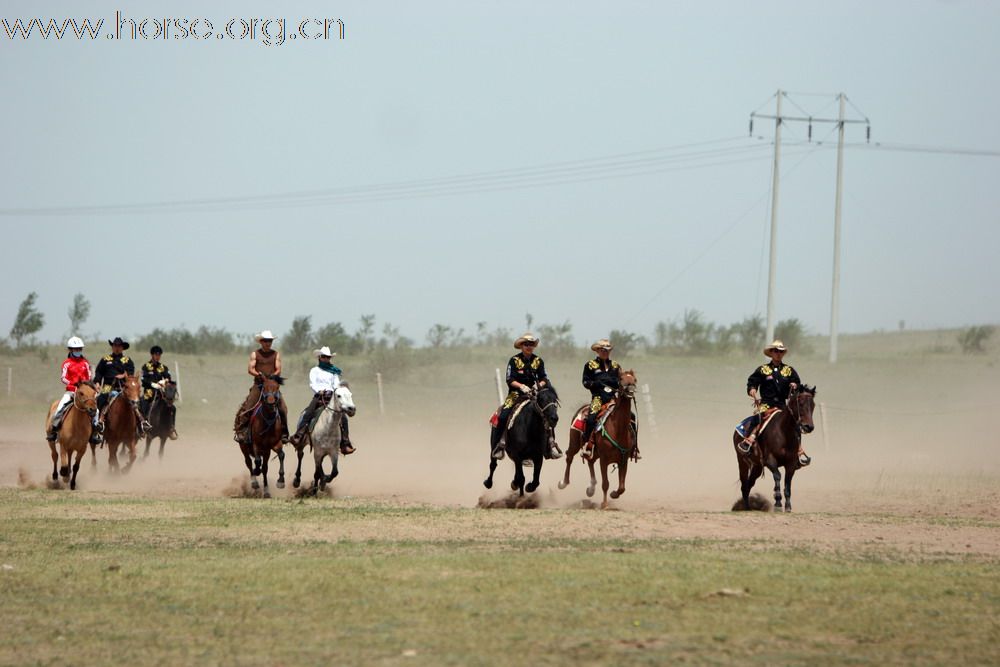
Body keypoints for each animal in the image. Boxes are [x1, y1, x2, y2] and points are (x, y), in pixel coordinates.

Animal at [560, 370, 636, 512]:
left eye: (634, 380)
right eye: (621, 379)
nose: (630, 390)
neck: (617, 429)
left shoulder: (623, 461)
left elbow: (622, 487)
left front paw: (614, 494)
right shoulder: (604, 460)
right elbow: (605, 483)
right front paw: (604, 504)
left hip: (593, 451)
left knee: (590, 461)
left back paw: (590, 489)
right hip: (574, 442)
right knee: (569, 456)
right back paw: (563, 483)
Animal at [732, 384, 816, 516]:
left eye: (813, 405)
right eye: (801, 403)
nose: (809, 427)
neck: (784, 432)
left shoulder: (791, 464)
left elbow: (787, 484)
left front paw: (788, 507)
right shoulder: (770, 461)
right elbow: (778, 476)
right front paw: (777, 503)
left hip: (757, 466)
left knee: (749, 484)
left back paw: (748, 507)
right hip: (742, 462)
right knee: (744, 484)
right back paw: (746, 507)